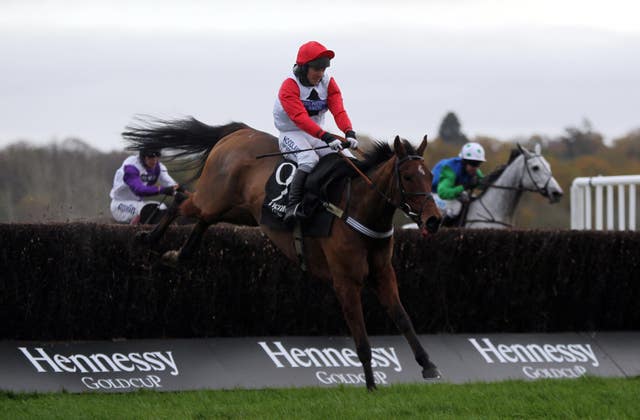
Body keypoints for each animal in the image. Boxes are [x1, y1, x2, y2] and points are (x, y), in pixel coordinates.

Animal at [125, 116, 444, 388]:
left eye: (429, 175)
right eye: (408, 177)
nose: (433, 220)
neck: (358, 209)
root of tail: (239, 132)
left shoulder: (382, 273)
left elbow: (403, 318)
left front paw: (428, 365)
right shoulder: (345, 281)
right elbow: (361, 337)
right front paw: (371, 384)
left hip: (241, 211)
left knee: (203, 219)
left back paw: (177, 255)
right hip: (214, 197)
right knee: (181, 201)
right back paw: (148, 238)